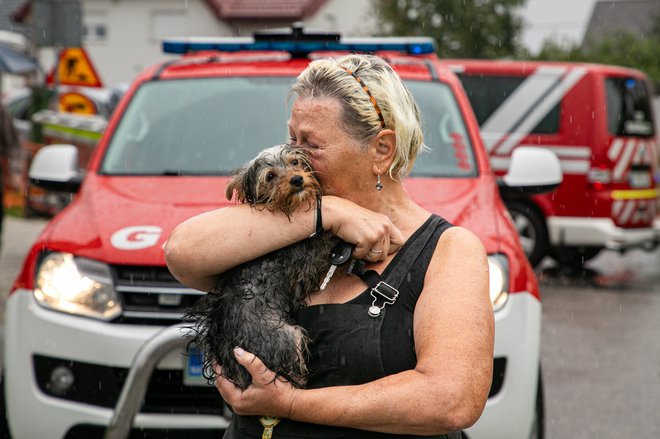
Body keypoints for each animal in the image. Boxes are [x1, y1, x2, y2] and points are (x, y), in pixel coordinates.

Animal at [186, 146, 332, 390]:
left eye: (295, 162)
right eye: (270, 176)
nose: (297, 179)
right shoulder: (306, 257)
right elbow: (324, 241)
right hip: (286, 336)